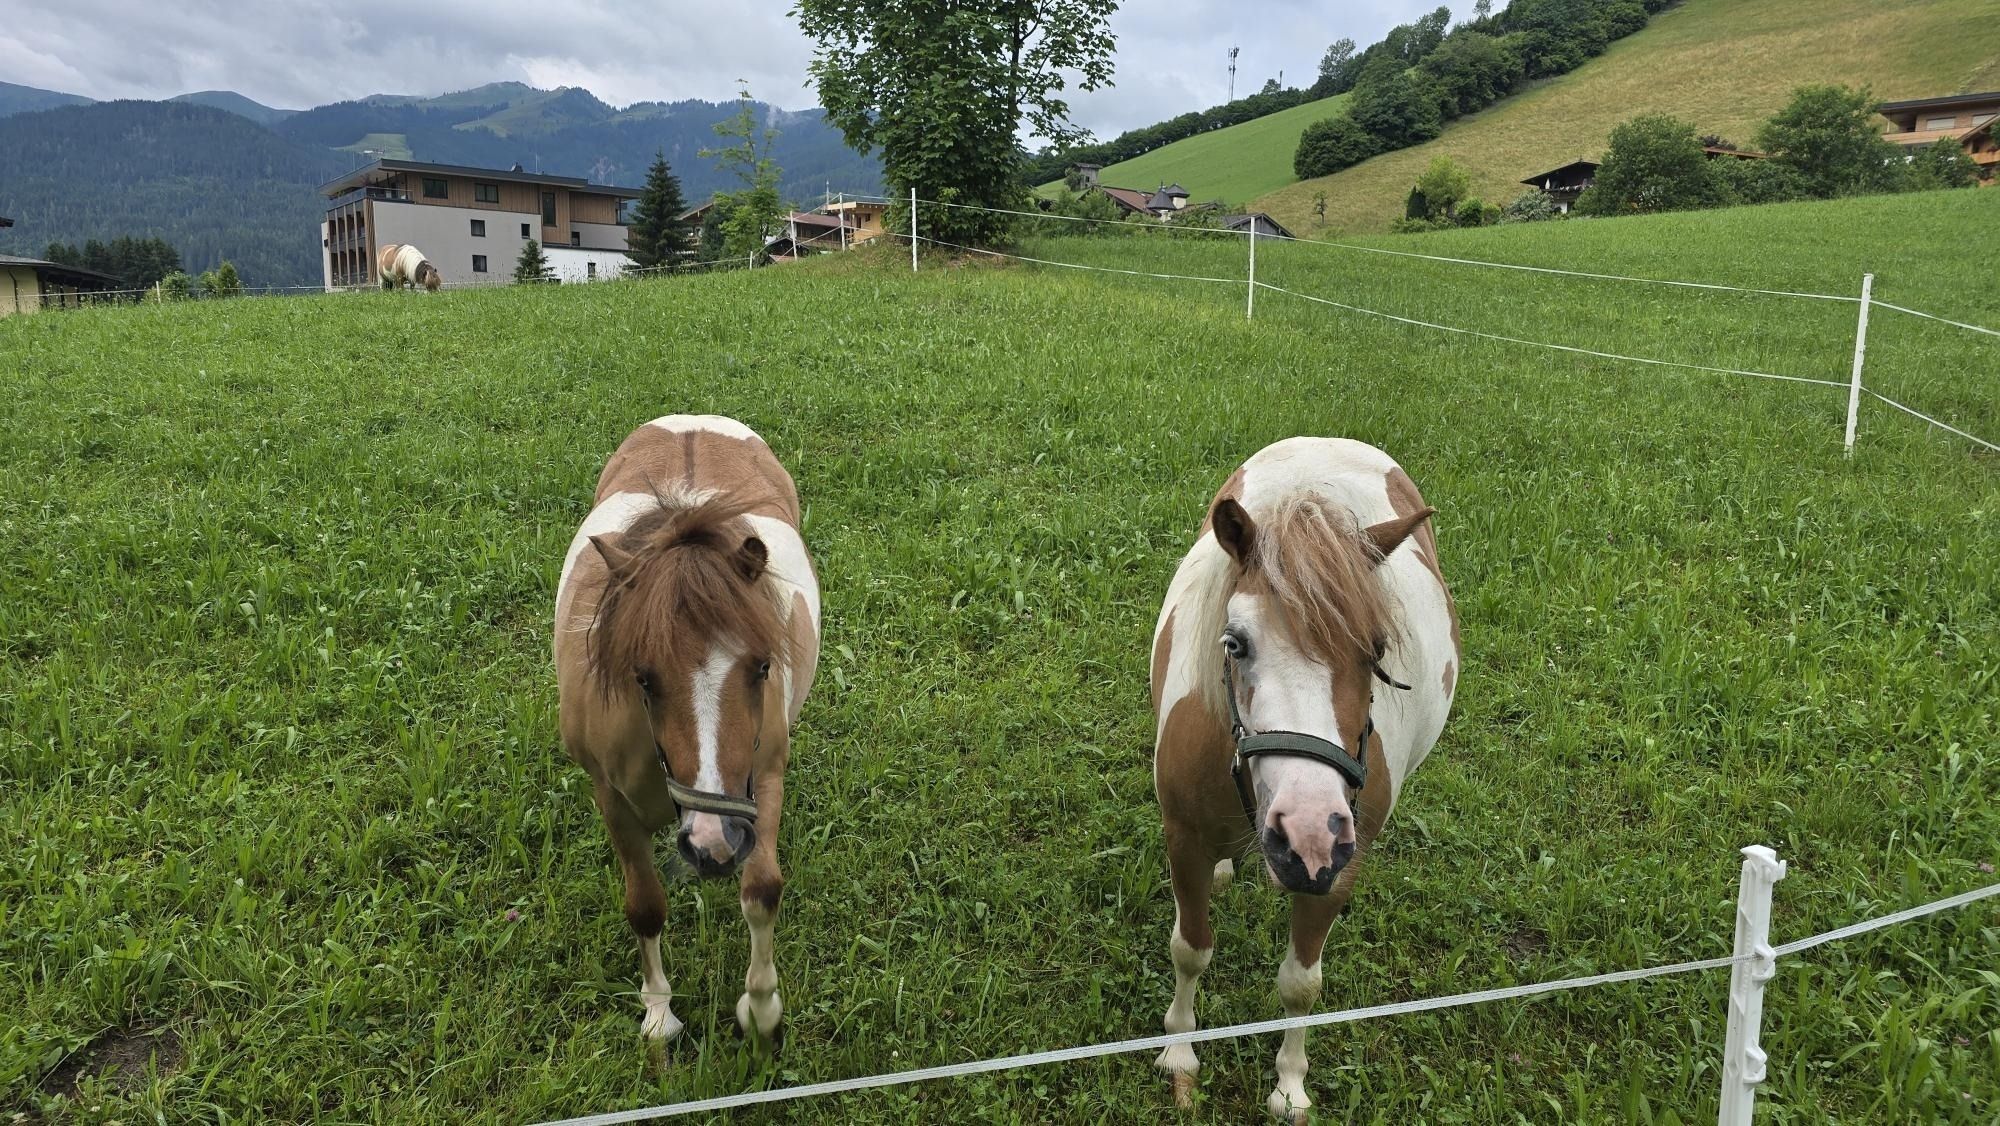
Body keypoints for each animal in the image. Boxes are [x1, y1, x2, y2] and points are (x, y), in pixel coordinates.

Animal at [554, 414, 820, 1046]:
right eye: (643, 678)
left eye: (763, 666)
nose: (711, 844)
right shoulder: (611, 799)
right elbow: (645, 905)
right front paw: (658, 1016)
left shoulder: (762, 780)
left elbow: (762, 890)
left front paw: (761, 1010)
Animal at [1150, 437, 1458, 1121]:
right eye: (1234, 643)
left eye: (1376, 651)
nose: (1309, 833)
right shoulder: (1183, 838)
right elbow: (1191, 947)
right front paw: (1181, 1056)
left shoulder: (1339, 869)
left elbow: (1300, 984)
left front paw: (1289, 1085)